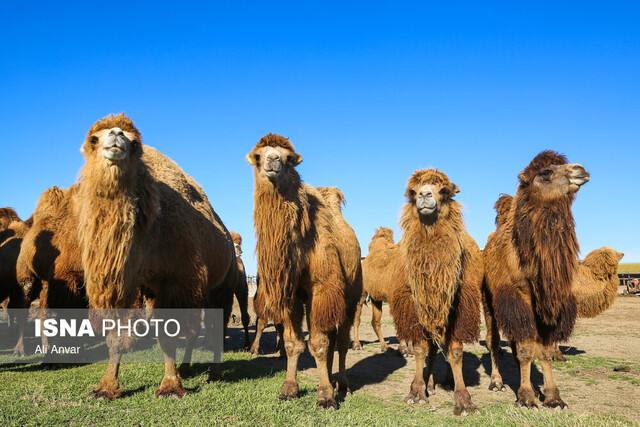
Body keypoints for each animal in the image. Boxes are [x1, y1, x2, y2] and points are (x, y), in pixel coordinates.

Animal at [69, 113, 238, 398]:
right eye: (93, 139)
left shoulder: (175, 279)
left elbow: (167, 336)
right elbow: (117, 336)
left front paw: (170, 386)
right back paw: (187, 368)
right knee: (197, 330)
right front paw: (106, 387)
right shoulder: (126, 286)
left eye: (135, 143)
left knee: (217, 327)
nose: (116, 135)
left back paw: (213, 374)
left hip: (224, 284)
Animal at [248, 135, 362, 412]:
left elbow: (318, 345)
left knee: (341, 342)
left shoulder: (322, 288)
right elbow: (293, 343)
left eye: (289, 158)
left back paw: (342, 384)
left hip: (351, 297)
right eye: (258, 156)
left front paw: (326, 397)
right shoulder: (289, 294)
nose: (272, 160)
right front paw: (289, 390)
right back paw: (331, 378)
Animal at [482, 150, 592, 408]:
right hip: (488, 298)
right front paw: (526, 397)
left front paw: (554, 397)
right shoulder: (516, 296)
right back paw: (497, 381)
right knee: (493, 339)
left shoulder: (549, 303)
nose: (581, 170)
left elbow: (544, 350)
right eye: (546, 172)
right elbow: (525, 349)